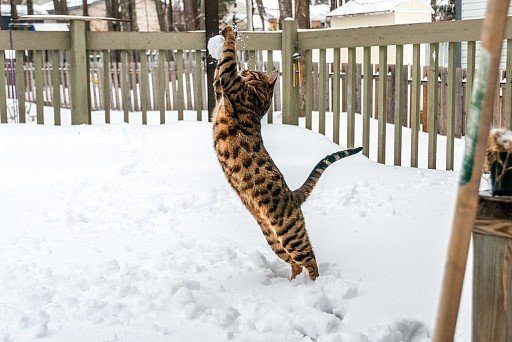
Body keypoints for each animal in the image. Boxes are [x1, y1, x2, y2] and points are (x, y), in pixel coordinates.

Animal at [210, 24, 362, 280]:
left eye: (253, 72)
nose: (247, 68)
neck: (260, 100)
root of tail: (293, 195)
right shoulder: (222, 91)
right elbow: (216, 75)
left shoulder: (232, 83)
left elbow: (228, 58)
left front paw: (229, 31)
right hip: (273, 239)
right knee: (295, 263)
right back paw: (291, 283)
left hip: (290, 234)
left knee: (310, 260)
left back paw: (312, 285)